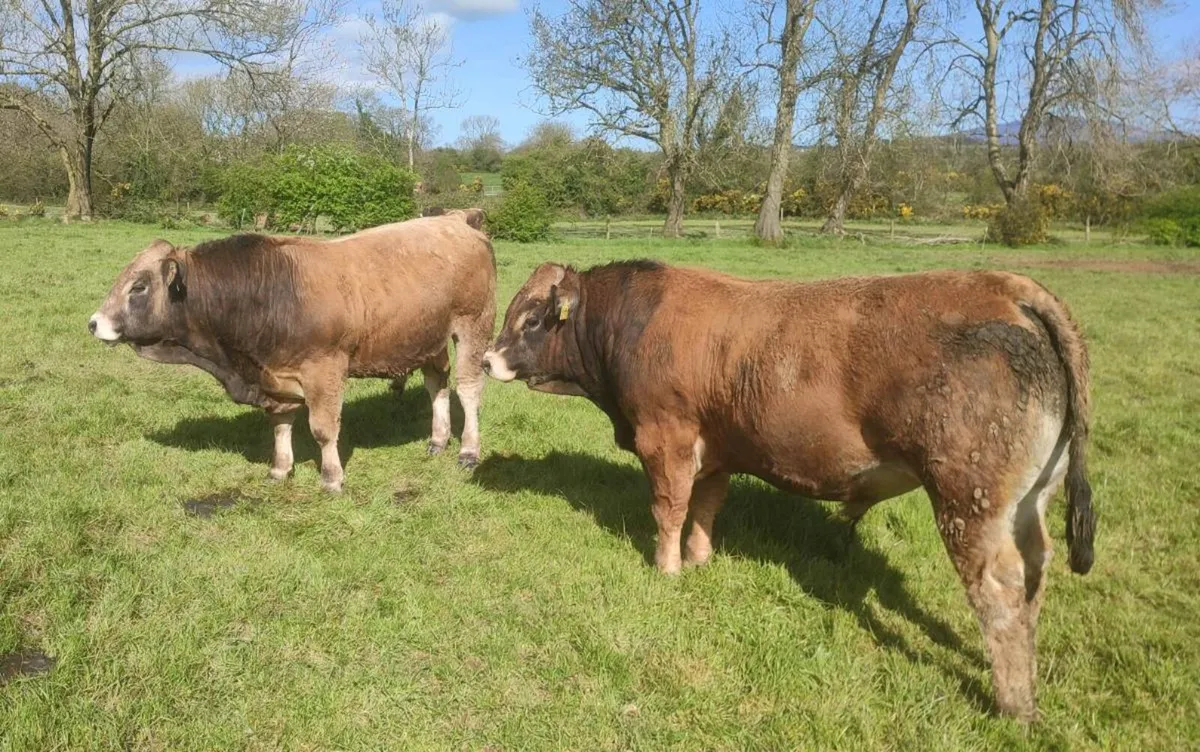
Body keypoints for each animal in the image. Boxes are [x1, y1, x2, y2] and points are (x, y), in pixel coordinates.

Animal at [89, 213, 497, 491]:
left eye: (139, 286)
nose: (94, 323)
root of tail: (457, 218)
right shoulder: (274, 373)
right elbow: (281, 423)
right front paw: (280, 469)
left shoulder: (325, 369)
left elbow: (323, 429)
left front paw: (331, 478)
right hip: (428, 337)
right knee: (437, 383)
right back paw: (438, 439)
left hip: (474, 326)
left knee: (468, 389)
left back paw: (467, 451)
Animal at [482, 260, 1095, 721]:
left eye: (532, 318)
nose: (486, 359)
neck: (630, 324)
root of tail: (1006, 286)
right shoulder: (717, 448)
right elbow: (706, 506)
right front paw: (700, 559)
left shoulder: (666, 437)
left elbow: (669, 507)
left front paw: (667, 568)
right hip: (1029, 501)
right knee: (1034, 574)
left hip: (968, 499)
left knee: (998, 591)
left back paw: (1013, 706)